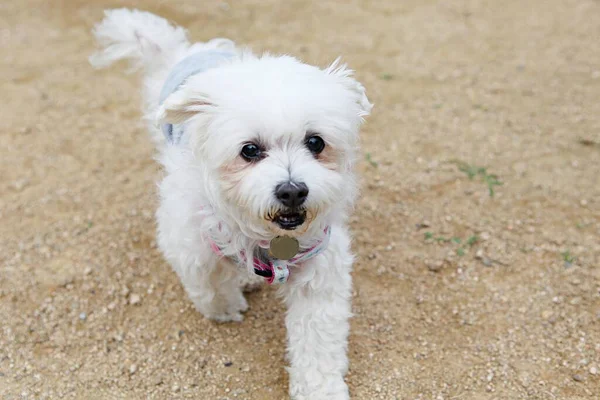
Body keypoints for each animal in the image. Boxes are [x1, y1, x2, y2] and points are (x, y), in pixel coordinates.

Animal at [89, 8, 370, 396]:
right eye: (249, 150)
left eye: (316, 142)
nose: (292, 190)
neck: (268, 237)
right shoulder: (189, 239)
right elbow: (208, 282)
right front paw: (225, 307)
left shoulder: (320, 271)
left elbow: (318, 341)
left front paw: (320, 390)